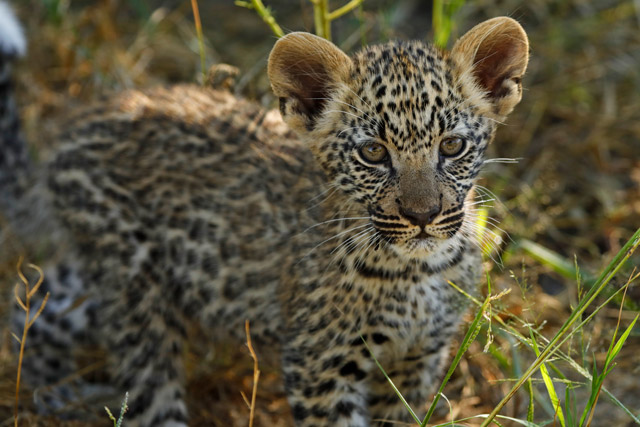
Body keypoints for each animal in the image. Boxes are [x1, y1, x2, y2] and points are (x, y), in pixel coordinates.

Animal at [2, 8, 529, 426]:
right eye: (374, 153)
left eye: (452, 146)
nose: (423, 216)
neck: (420, 269)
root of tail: (69, 139)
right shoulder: (321, 365)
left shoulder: (420, 359)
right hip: (135, 292)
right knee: (149, 389)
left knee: (36, 304)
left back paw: (53, 393)